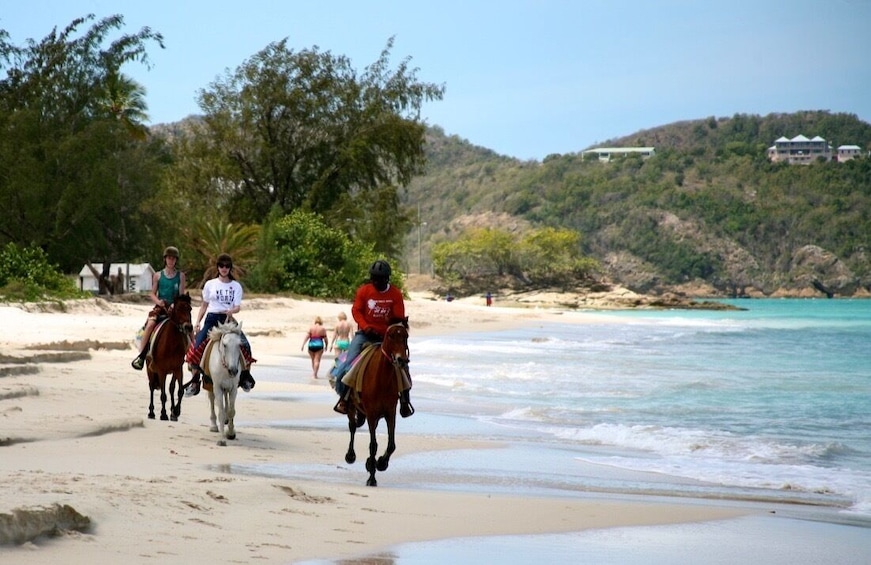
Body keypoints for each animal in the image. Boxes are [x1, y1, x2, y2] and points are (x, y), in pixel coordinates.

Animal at [344, 322, 412, 484]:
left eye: (405, 336)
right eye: (390, 336)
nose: (402, 360)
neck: (382, 379)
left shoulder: (390, 413)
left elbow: (391, 444)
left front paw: (380, 463)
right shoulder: (371, 414)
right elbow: (373, 445)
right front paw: (372, 478)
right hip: (351, 407)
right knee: (352, 426)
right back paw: (350, 455)